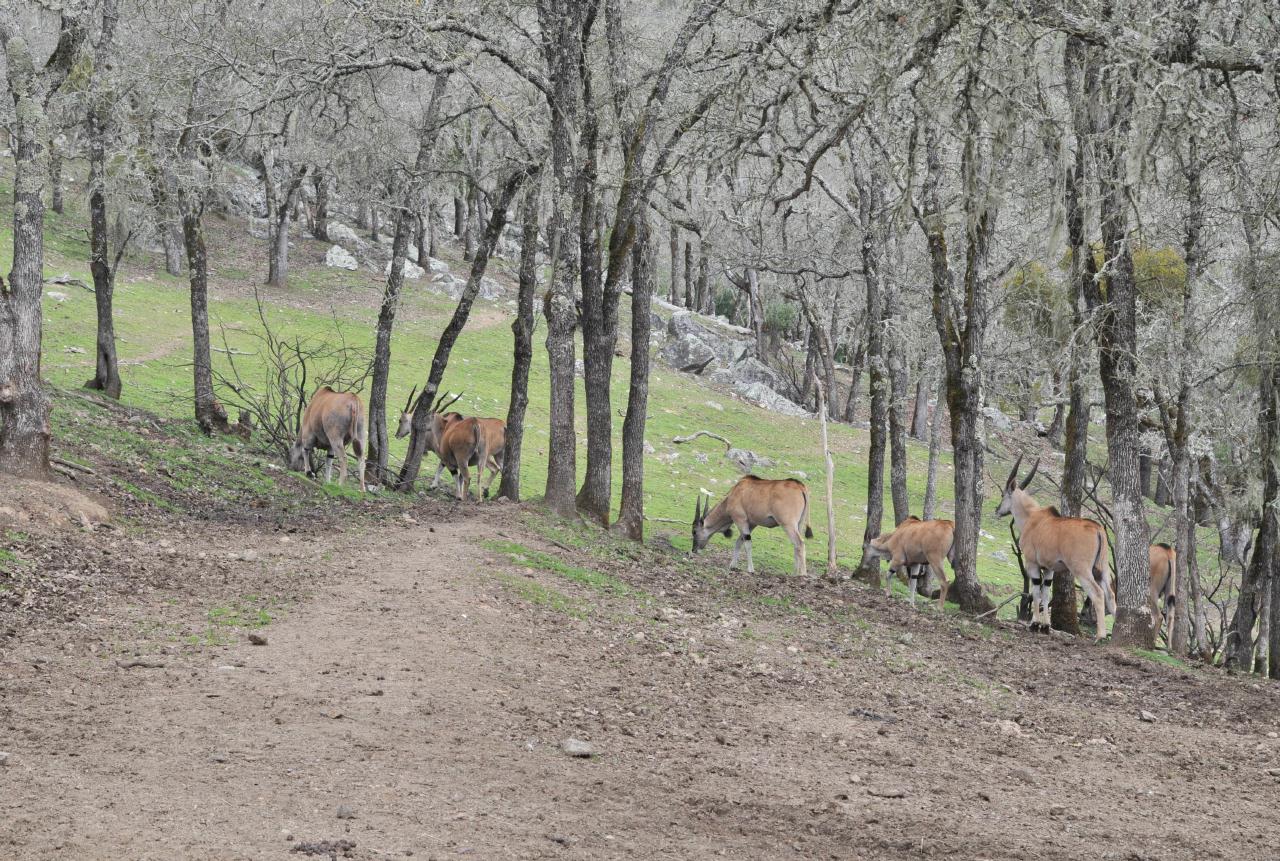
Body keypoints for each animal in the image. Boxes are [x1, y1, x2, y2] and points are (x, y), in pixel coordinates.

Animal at [988, 455, 1111, 637]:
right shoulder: (1049, 569)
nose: (997, 510)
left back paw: (1100, 636)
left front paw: (1034, 624)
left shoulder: (1032, 563)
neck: (1032, 518)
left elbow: (1036, 591)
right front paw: (1045, 626)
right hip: (1101, 570)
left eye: (1004, 494)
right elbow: (1045, 593)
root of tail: (1097, 528)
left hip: (1082, 570)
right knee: (1111, 595)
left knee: (1098, 594)